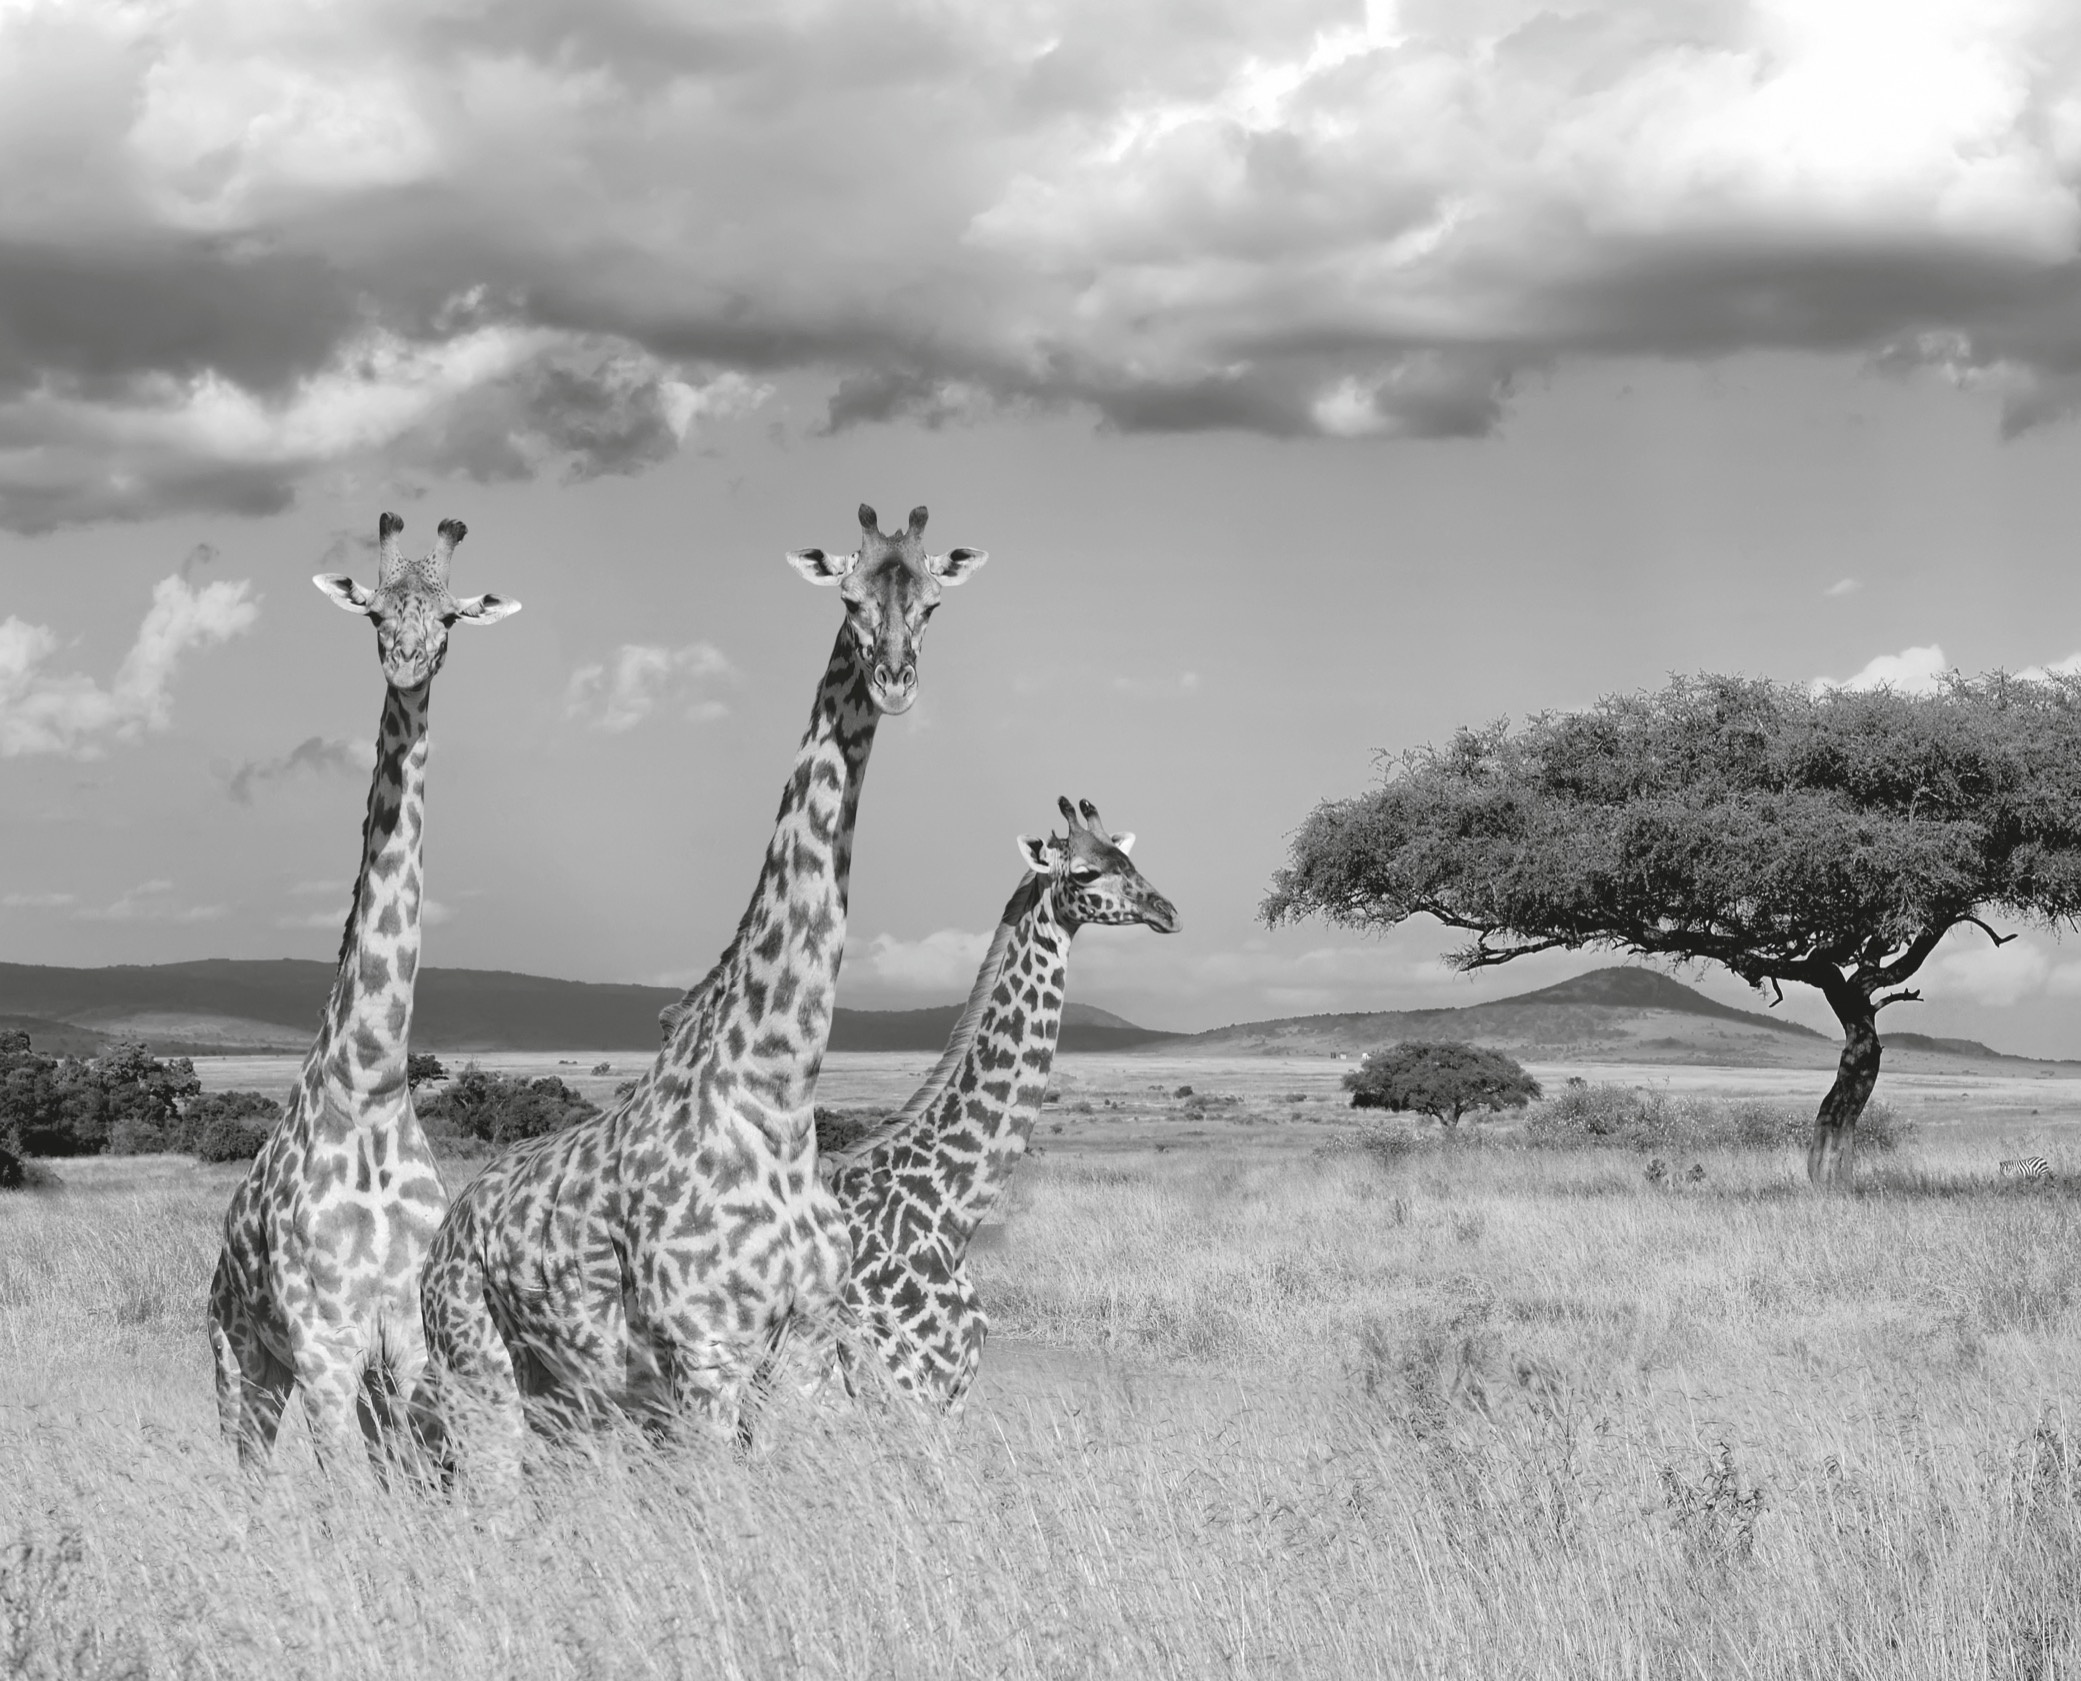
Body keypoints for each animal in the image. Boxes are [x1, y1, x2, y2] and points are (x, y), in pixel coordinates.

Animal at [204, 511, 520, 1472]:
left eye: (449, 617)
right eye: (376, 611)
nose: (408, 663)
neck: (373, 1083)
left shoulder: (407, 1343)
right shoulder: (325, 1345)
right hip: (241, 1358)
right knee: (245, 1469)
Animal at [418, 499, 986, 1456]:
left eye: (934, 602)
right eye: (848, 596)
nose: (894, 680)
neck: (778, 1097)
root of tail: (448, 1231)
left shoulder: (802, 1350)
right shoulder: (705, 1355)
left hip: (567, 1397)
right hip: (478, 1370)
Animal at [824, 794, 1182, 1414]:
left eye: (1127, 859)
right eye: (1084, 872)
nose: (1168, 911)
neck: (950, 1216)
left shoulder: (953, 1392)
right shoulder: (904, 1388)